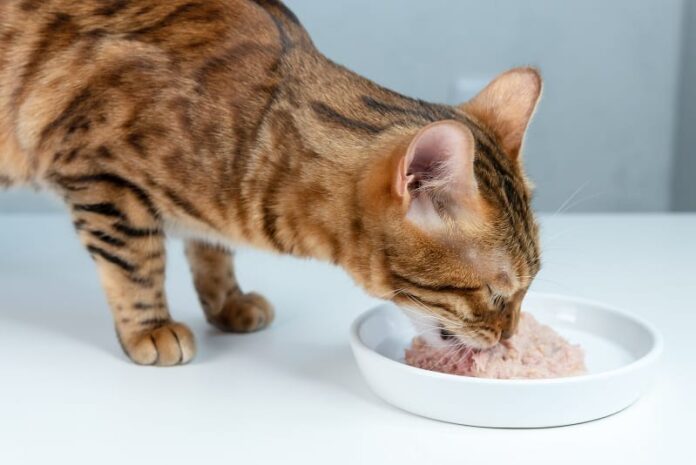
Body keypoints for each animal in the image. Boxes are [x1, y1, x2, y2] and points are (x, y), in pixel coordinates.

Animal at [0, 0, 544, 364]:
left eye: (529, 287)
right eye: (496, 293)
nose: (511, 335)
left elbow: (211, 251)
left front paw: (227, 301)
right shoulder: (100, 175)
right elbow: (137, 263)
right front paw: (150, 327)